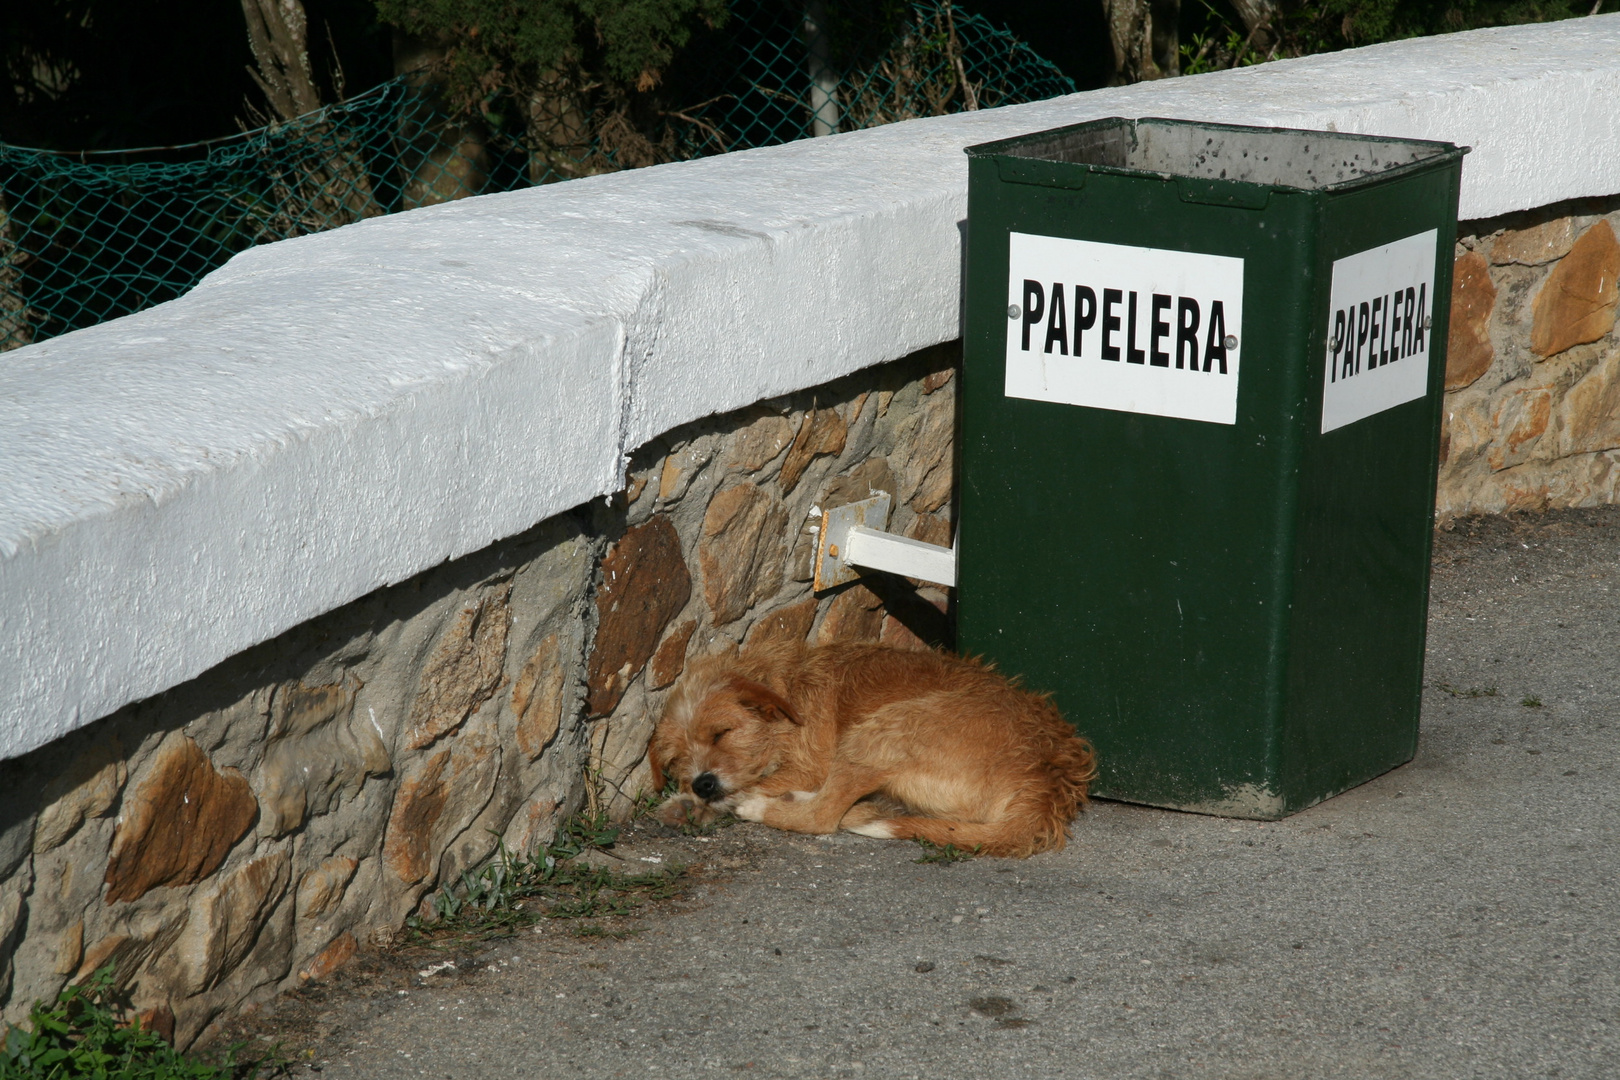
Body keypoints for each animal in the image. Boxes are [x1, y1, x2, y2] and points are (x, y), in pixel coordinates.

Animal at [651, 641, 1095, 861]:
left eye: (721, 733)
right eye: (677, 757)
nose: (703, 783)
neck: (788, 689)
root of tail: (1047, 782)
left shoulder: (809, 765)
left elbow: (764, 785)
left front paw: (705, 804)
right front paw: (686, 804)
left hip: (881, 731)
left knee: (823, 816)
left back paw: (760, 807)